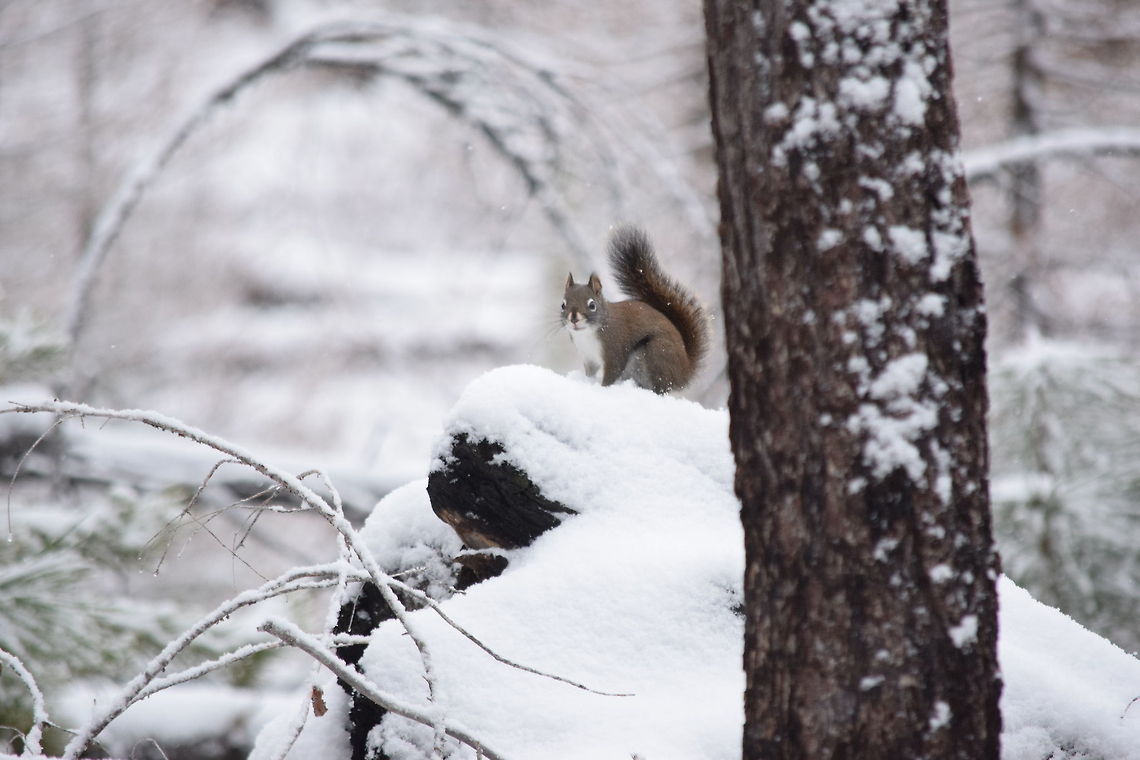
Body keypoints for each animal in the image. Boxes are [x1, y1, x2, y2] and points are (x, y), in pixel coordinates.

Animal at [561, 225, 708, 394]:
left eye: (592, 305)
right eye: (563, 305)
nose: (573, 318)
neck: (587, 334)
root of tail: (685, 372)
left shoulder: (614, 349)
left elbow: (612, 372)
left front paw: (602, 389)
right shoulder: (589, 358)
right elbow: (590, 373)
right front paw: (587, 382)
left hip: (656, 352)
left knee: (660, 387)